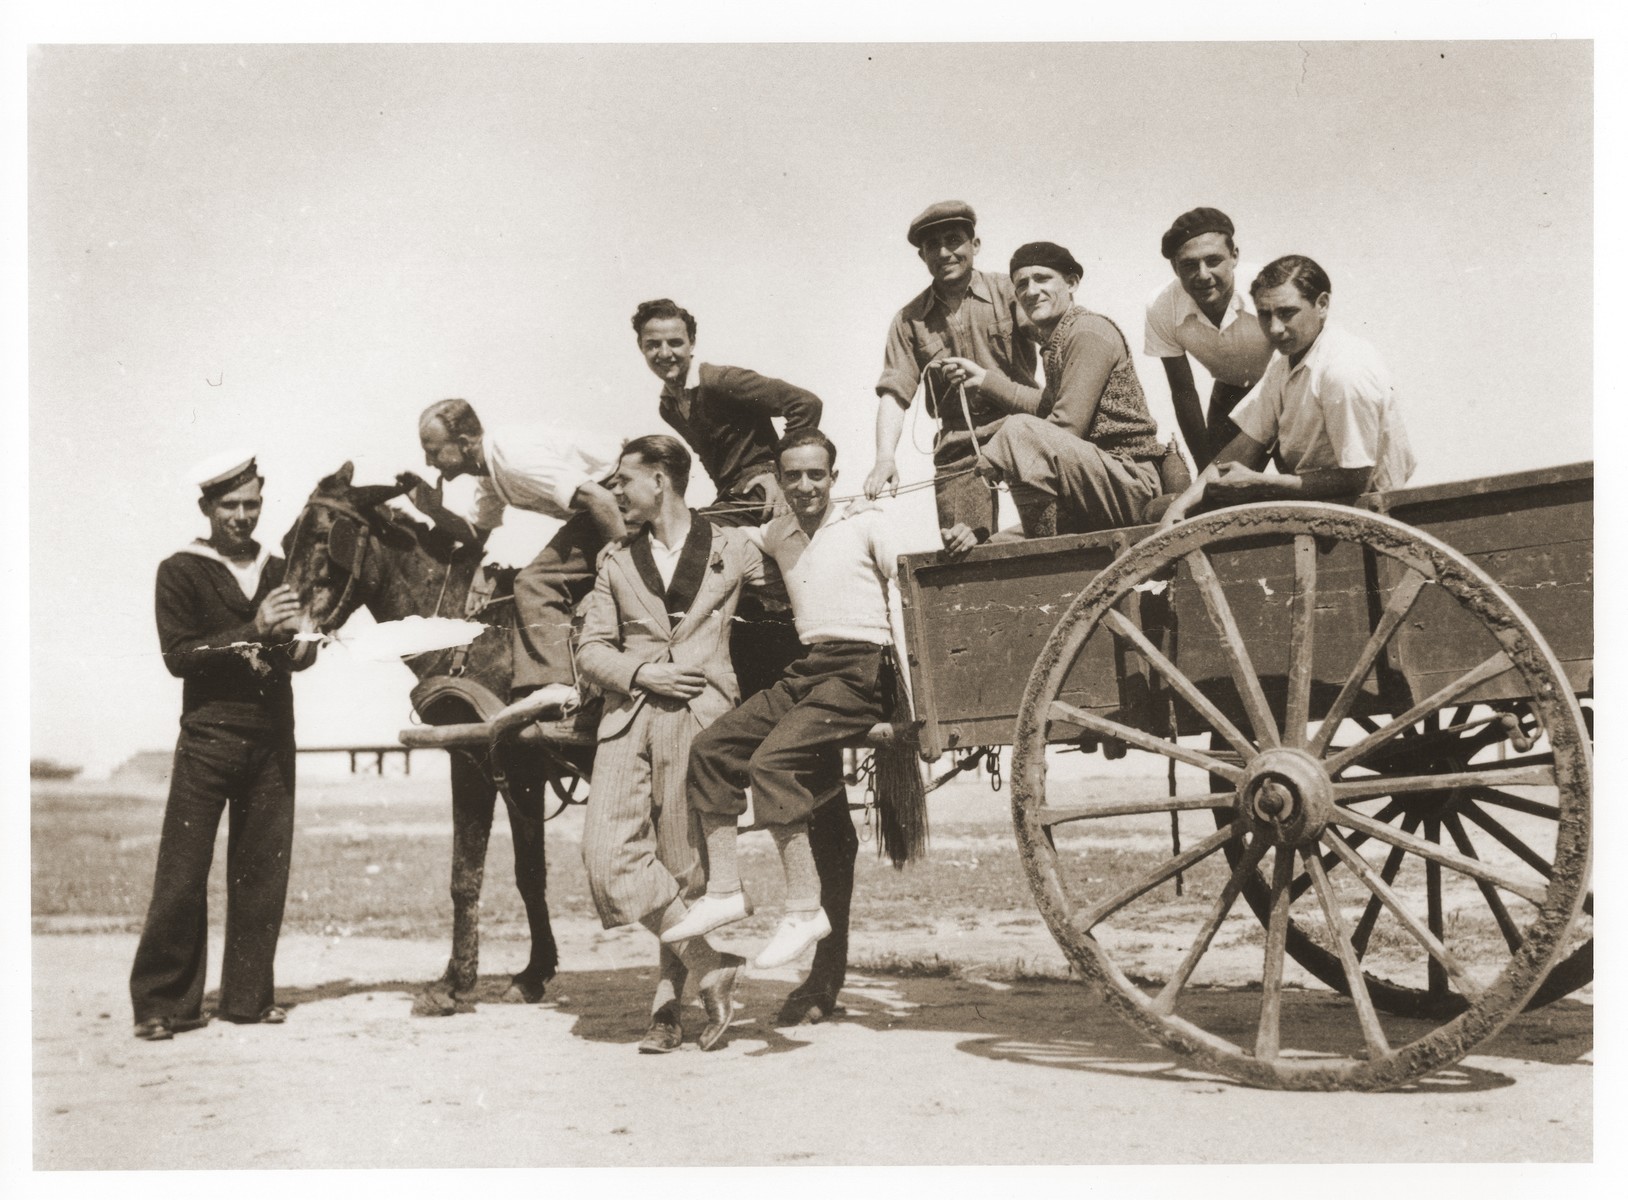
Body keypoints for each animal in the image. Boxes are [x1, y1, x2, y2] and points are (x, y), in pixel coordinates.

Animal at [281, 459, 592, 1009]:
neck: (474, 637)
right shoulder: (523, 773)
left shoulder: (471, 759)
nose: (280, 636)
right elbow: (529, 874)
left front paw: (453, 982)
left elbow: (464, 875)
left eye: (323, 535)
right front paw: (533, 972)